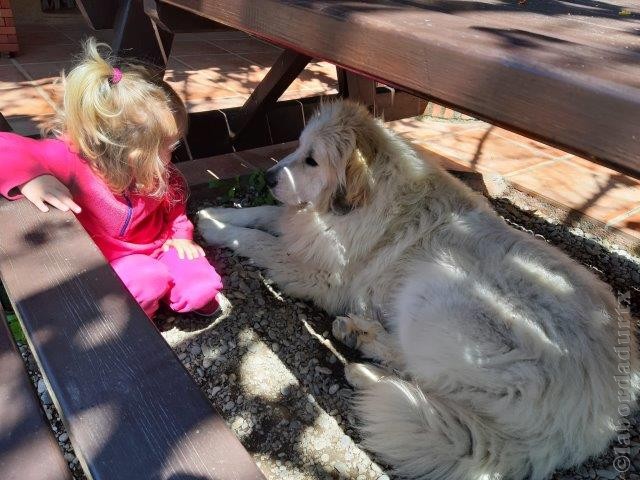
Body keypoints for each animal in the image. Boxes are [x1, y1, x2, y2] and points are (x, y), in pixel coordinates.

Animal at [198, 99, 636, 478]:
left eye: (312, 160)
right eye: (299, 147)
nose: (271, 177)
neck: (371, 196)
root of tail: (587, 423)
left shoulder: (319, 274)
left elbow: (259, 241)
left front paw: (215, 229)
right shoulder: (305, 229)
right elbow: (265, 215)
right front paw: (213, 213)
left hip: (437, 289)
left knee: (423, 378)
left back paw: (365, 371)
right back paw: (359, 334)